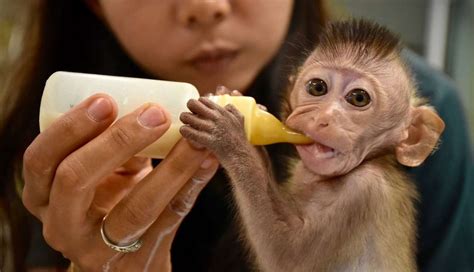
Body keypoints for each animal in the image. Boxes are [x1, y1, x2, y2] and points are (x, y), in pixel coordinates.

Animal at [181, 20, 444, 270]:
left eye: (359, 98)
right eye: (317, 87)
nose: (322, 118)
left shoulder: (365, 190)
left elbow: (290, 259)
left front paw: (230, 136)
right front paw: (230, 96)